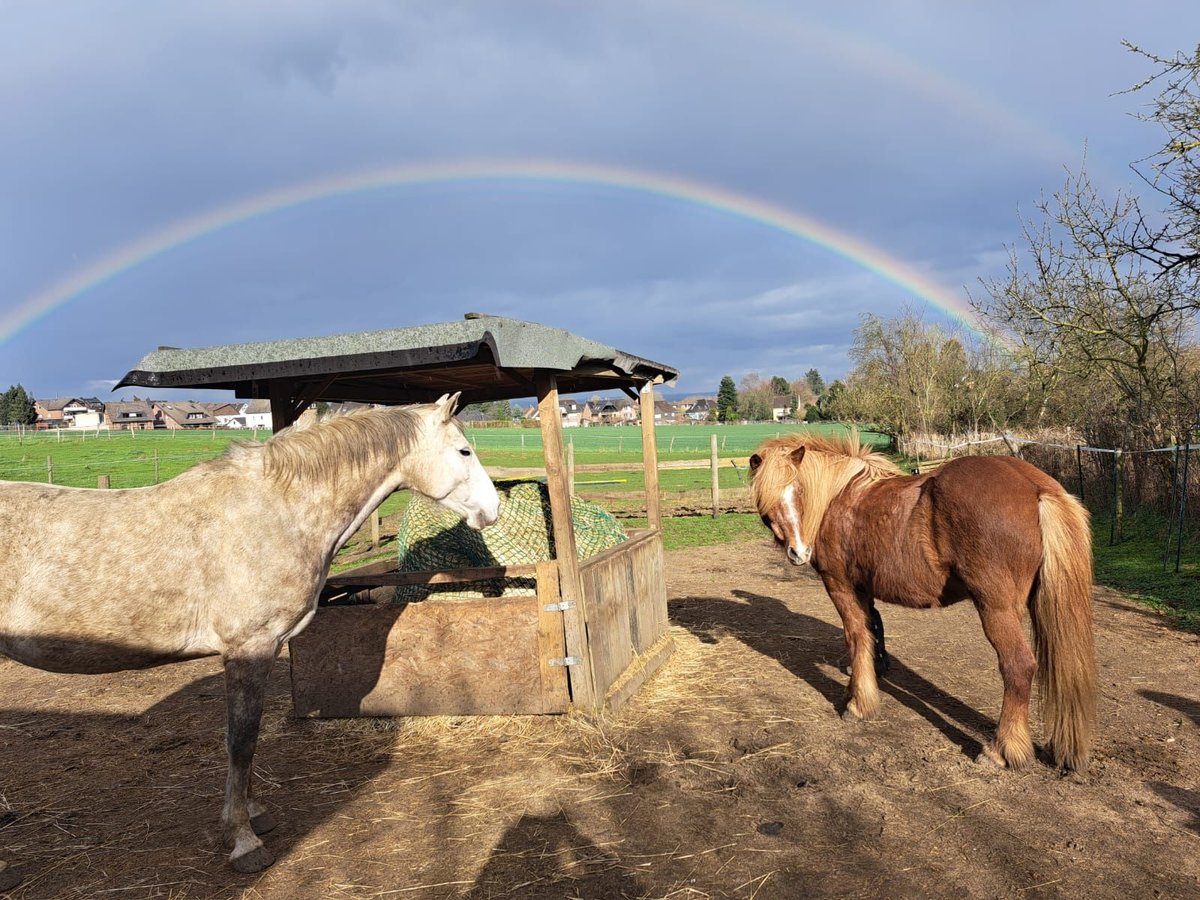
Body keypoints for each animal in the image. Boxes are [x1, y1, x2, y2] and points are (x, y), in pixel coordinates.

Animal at [748, 434, 1099, 772]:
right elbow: (873, 629)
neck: (837, 499)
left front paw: (859, 705)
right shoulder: (864, 587)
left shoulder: (840, 585)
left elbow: (857, 637)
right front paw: (869, 678)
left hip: (997, 610)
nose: (799, 552)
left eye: (798, 490)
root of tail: (1036, 486)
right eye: (768, 498)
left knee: (1018, 667)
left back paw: (1001, 751)